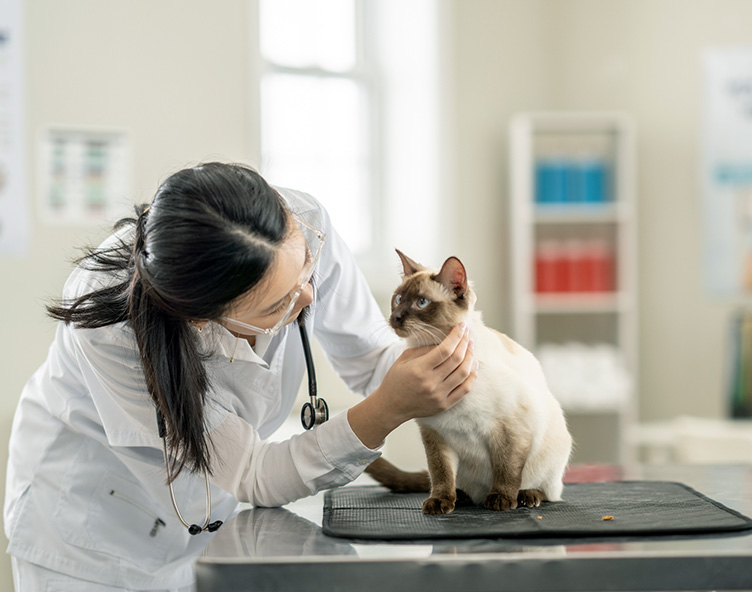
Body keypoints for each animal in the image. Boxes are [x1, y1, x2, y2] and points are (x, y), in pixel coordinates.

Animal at [368, 250, 572, 512]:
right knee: (455, 483)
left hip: (550, 455)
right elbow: (440, 473)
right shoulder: (435, 434)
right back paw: (461, 496)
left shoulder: (510, 428)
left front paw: (502, 500)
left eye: (421, 302)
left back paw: (525, 497)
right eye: (399, 298)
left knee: (548, 491)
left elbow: (507, 470)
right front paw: (440, 502)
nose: (395, 317)